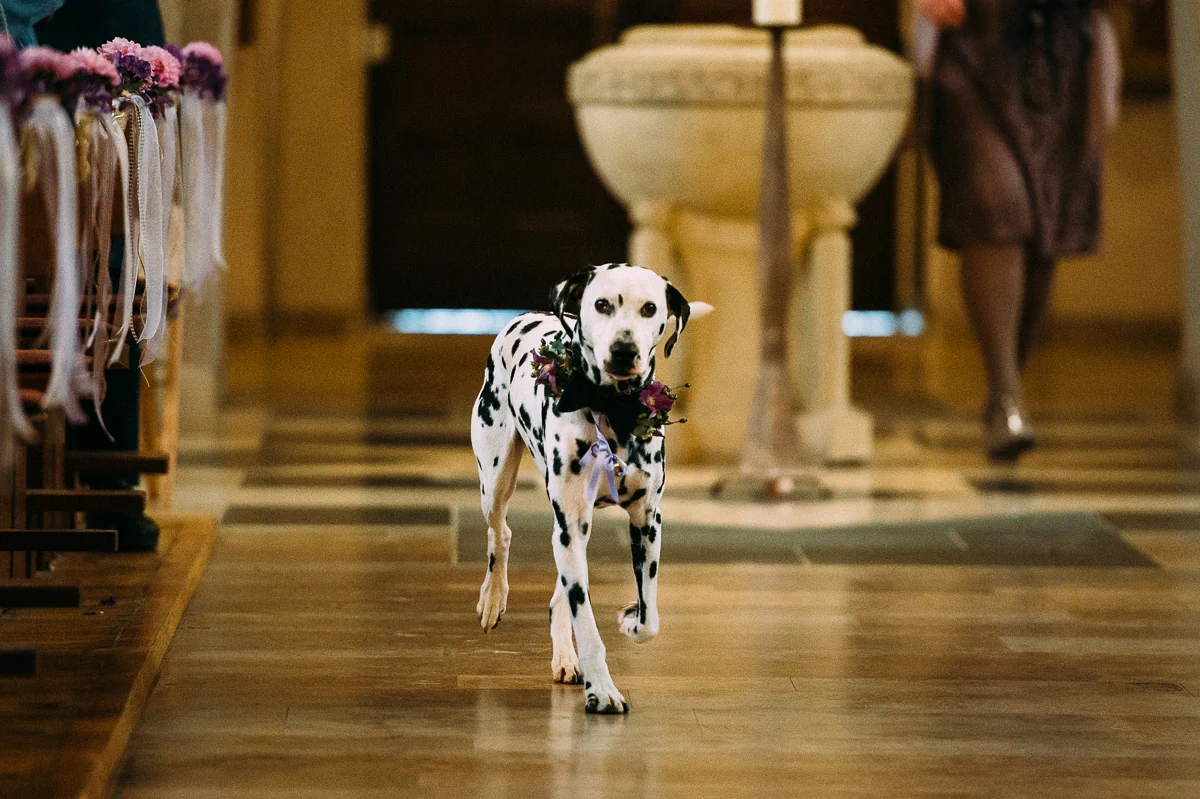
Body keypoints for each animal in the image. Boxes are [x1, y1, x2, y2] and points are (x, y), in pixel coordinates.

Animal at [470, 263, 710, 714]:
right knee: (500, 533)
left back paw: (565, 656)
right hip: (496, 482)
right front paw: (602, 690)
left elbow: (650, 618)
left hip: (574, 532)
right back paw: (493, 600)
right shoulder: (569, 522)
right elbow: (588, 625)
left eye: (650, 308)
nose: (623, 350)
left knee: (558, 596)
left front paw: (631, 620)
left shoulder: (646, 525)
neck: (613, 411)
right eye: (601, 304)